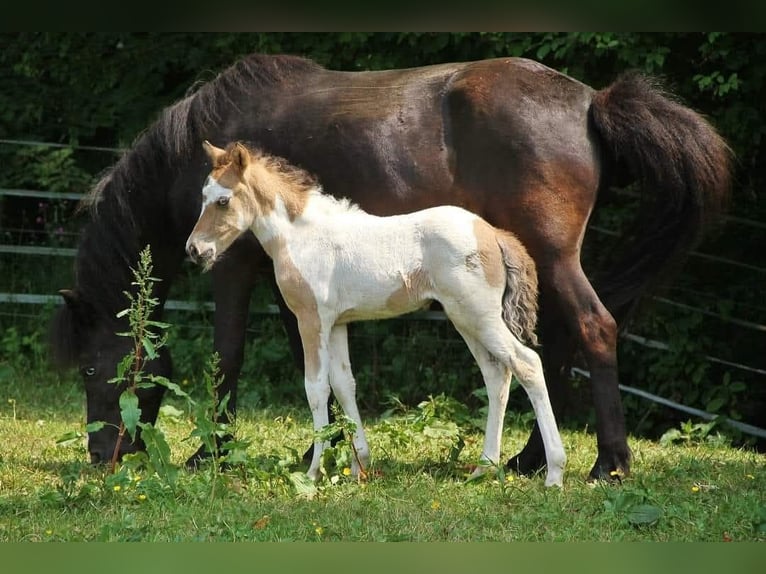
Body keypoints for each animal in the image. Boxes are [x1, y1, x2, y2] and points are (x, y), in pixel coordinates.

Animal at [185, 140, 567, 486]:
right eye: (202, 196)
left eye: (223, 200)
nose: (194, 250)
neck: (301, 236)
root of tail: (493, 233)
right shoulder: (337, 324)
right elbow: (344, 385)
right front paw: (360, 466)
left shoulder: (311, 320)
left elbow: (315, 388)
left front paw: (313, 472)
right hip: (466, 320)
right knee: (496, 375)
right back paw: (485, 467)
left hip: (479, 317)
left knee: (527, 364)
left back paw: (554, 473)